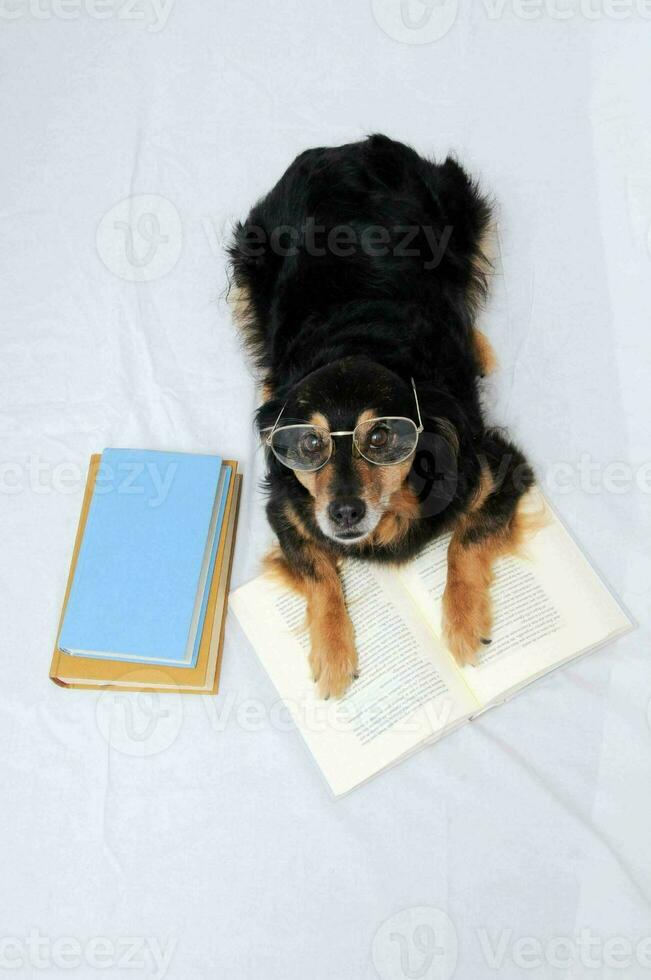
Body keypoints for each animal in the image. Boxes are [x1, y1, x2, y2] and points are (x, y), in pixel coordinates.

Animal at [229, 134, 536, 696]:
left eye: (382, 438)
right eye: (309, 444)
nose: (345, 513)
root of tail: (343, 147)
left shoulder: (503, 466)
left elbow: (466, 537)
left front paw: (463, 623)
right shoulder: (285, 506)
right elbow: (319, 573)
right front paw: (332, 654)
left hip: (460, 216)